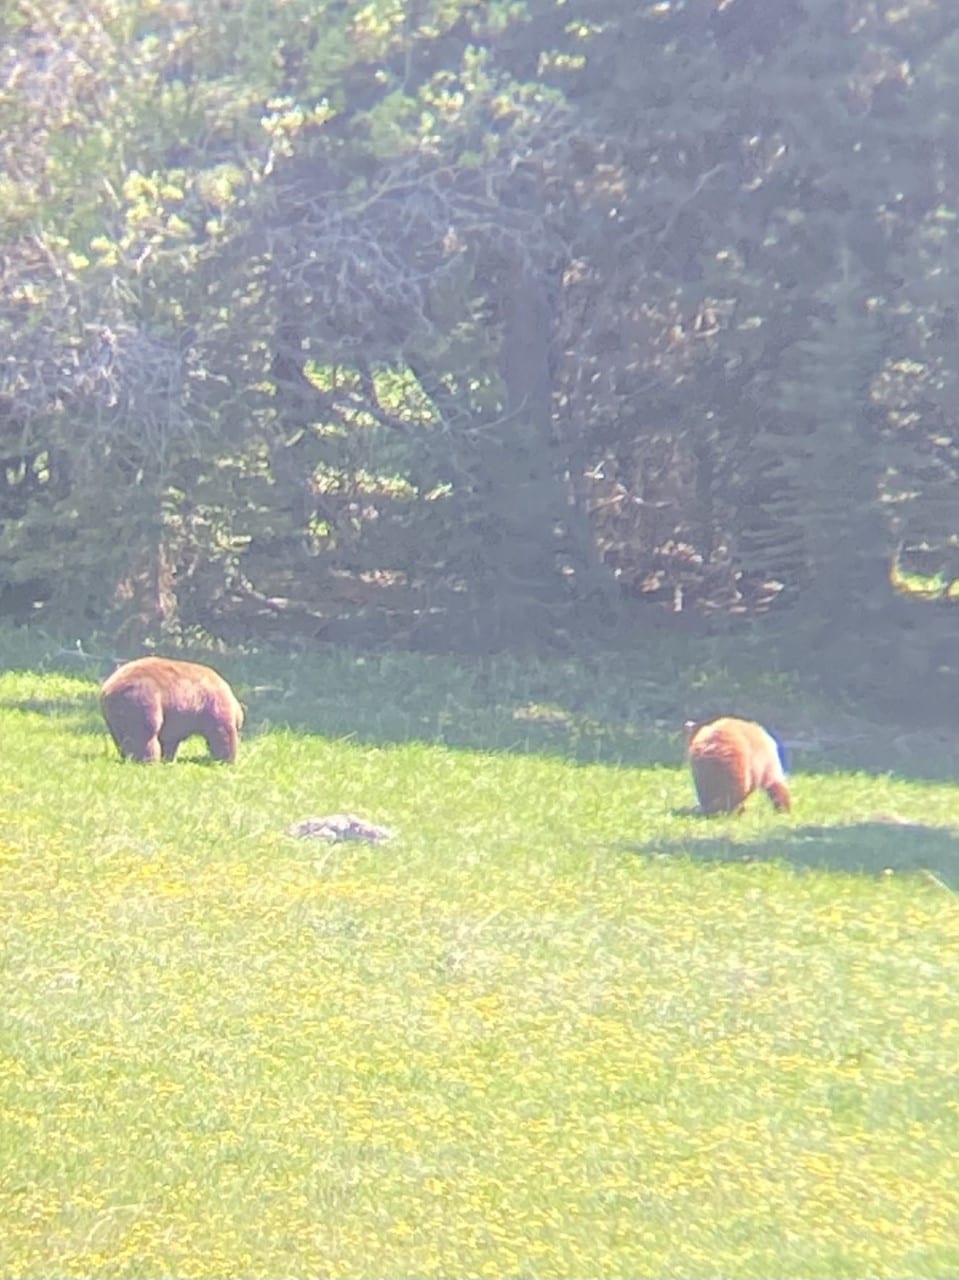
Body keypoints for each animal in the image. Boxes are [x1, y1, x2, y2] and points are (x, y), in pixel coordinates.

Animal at [100, 656, 244, 763]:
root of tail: (108, 688)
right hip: (143, 698)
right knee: (145, 733)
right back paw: (149, 760)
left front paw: (168, 757)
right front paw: (226, 759)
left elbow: (171, 739)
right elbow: (222, 732)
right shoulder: (213, 704)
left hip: (113, 717)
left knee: (121, 737)